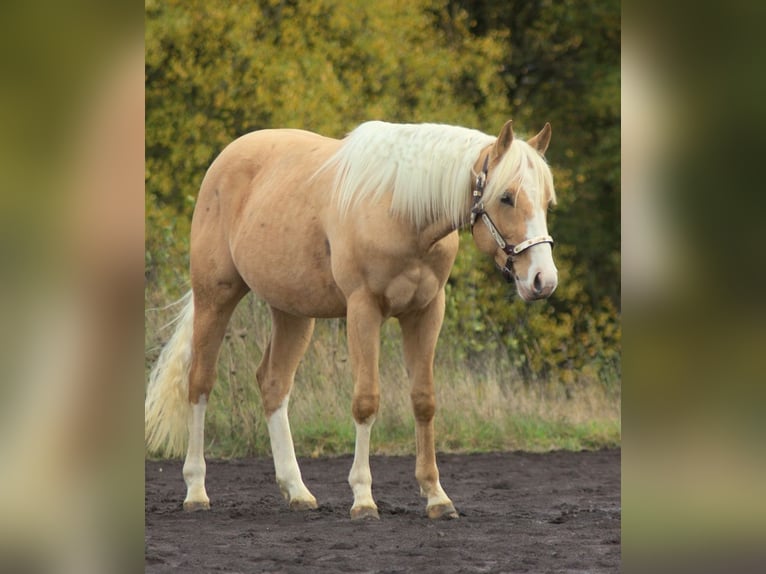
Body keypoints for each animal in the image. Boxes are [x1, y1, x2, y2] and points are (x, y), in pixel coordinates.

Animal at [145, 119, 558, 520]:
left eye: (546, 201)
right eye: (506, 197)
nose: (543, 280)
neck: (401, 209)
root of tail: (224, 160)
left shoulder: (426, 312)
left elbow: (424, 401)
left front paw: (436, 497)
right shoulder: (363, 310)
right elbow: (366, 401)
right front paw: (363, 499)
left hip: (293, 312)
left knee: (273, 383)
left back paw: (297, 491)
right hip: (215, 297)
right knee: (200, 383)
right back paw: (196, 491)